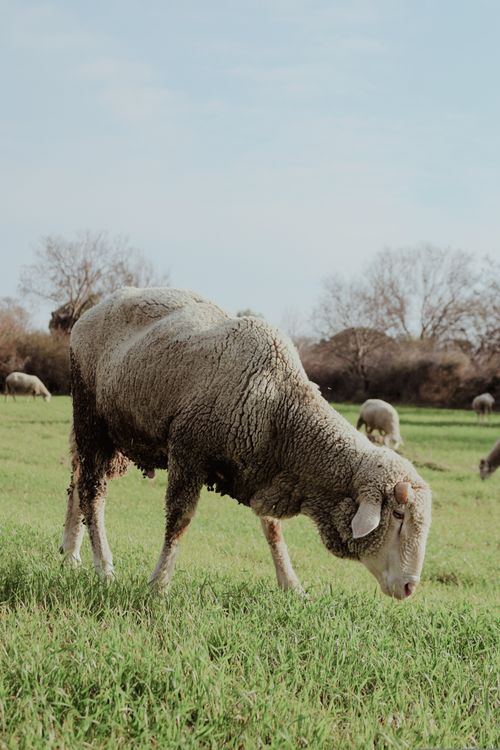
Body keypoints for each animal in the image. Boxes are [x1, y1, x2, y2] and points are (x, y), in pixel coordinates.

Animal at [60, 287, 432, 600]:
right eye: (398, 514)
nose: (410, 587)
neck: (281, 409)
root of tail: (94, 309)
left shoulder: (266, 472)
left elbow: (273, 530)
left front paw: (291, 585)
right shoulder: (188, 452)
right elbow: (179, 522)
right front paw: (159, 585)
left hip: (117, 435)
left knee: (78, 481)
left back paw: (70, 555)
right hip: (91, 419)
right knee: (93, 493)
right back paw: (103, 567)